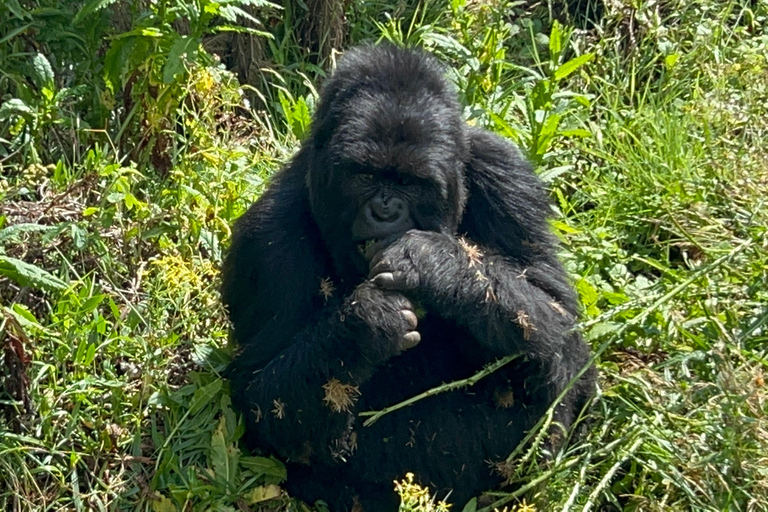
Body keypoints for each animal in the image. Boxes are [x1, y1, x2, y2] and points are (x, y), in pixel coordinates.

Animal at [219, 45, 596, 512]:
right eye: (365, 175)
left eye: (411, 182)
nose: (385, 211)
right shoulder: (267, 235)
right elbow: (257, 397)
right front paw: (365, 324)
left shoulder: (507, 176)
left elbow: (561, 326)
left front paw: (435, 265)